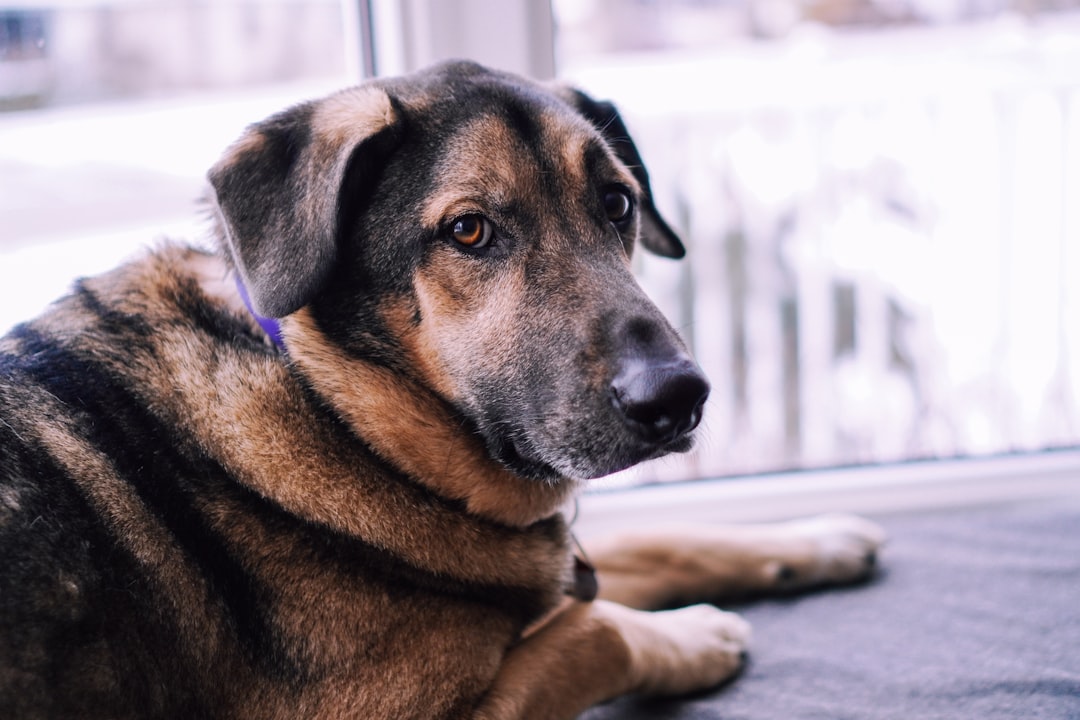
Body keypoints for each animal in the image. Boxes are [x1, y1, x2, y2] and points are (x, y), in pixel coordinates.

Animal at [0, 62, 885, 720]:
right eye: (468, 230)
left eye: (617, 202)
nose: (679, 398)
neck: (338, 410)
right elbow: (598, 629)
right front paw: (696, 637)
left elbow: (653, 542)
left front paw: (814, 538)